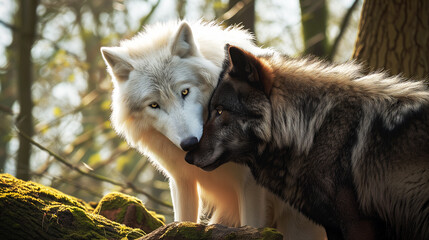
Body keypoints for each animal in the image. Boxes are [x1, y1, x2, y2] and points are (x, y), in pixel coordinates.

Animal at [98, 21, 322, 240]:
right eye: (154, 105)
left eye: (185, 92)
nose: (189, 144)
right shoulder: (182, 181)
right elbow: (182, 222)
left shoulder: (250, 185)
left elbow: (252, 226)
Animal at [186, 45, 428, 240]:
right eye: (210, 110)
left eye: (220, 111)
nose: (188, 155)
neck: (312, 129)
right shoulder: (333, 226)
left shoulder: (358, 223)